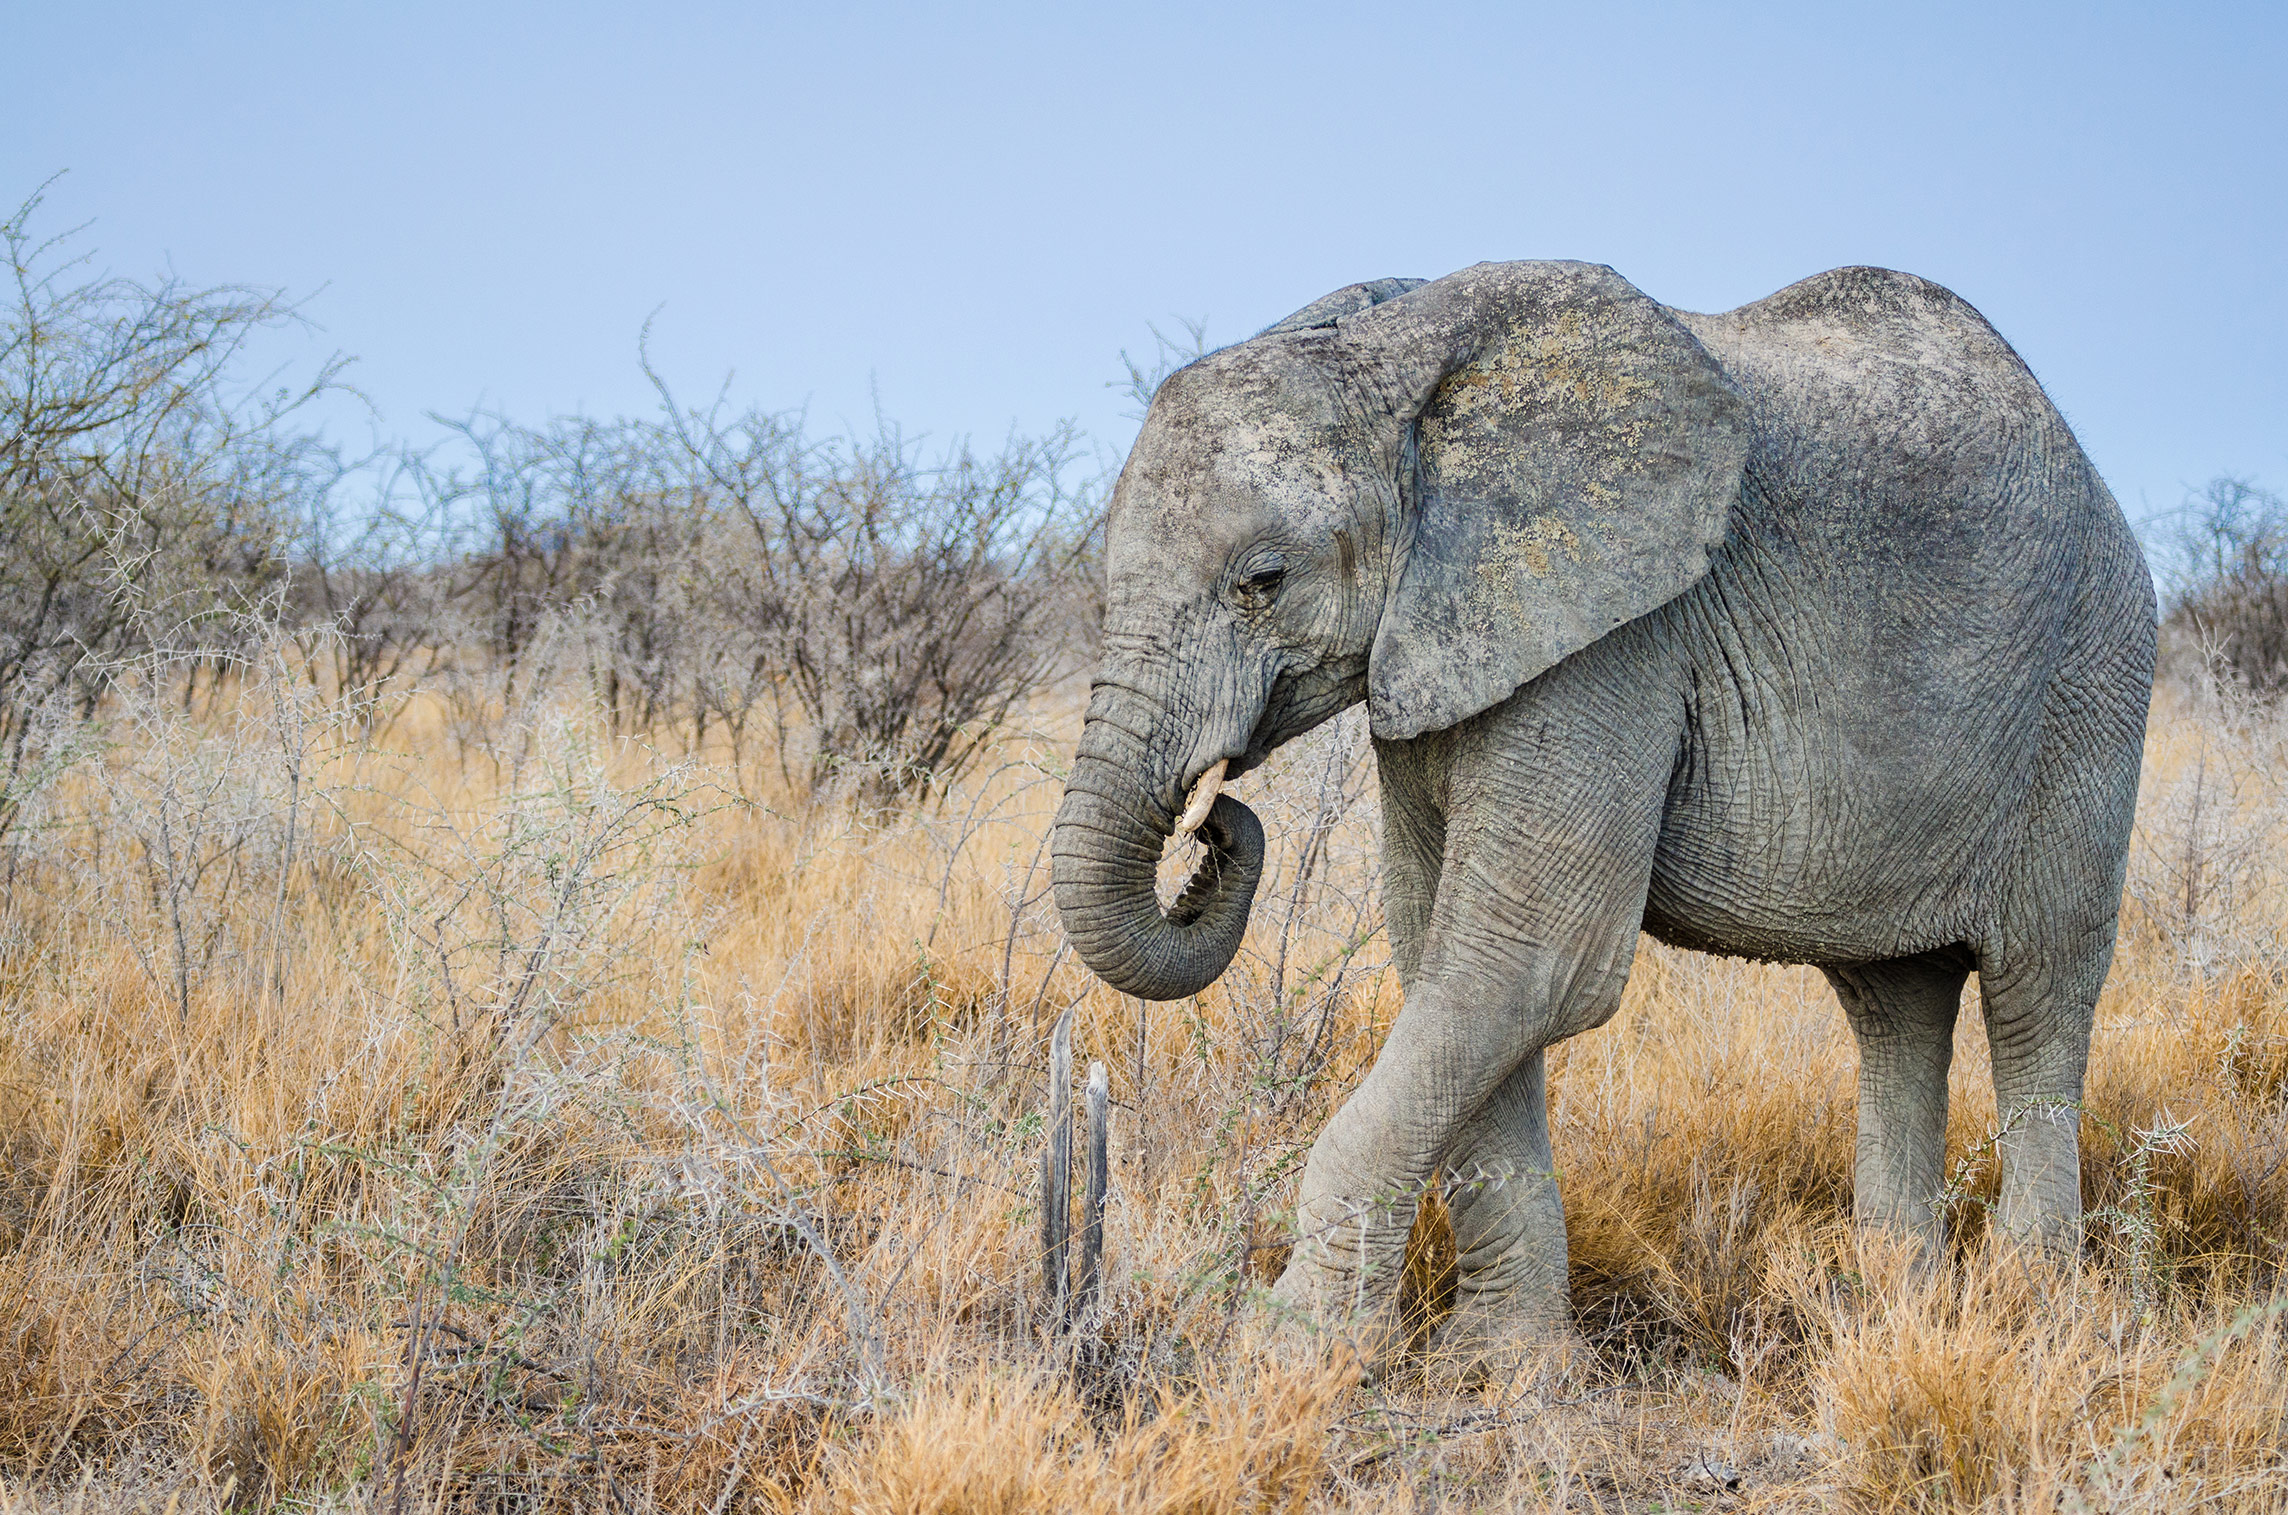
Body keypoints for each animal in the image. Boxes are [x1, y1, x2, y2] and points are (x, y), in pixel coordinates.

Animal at [1049, 260, 2155, 1375]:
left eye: (1264, 580)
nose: (1213, 821)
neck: (1408, 368)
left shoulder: (1614, 639)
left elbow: (1527, 964)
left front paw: (1290, 1355)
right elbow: (1446, 954)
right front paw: (1498, 1366)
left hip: (2088, 687)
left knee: (2036, 988)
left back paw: (2027, 1310)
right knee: (1897, 1003)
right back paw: (1894, 1304)